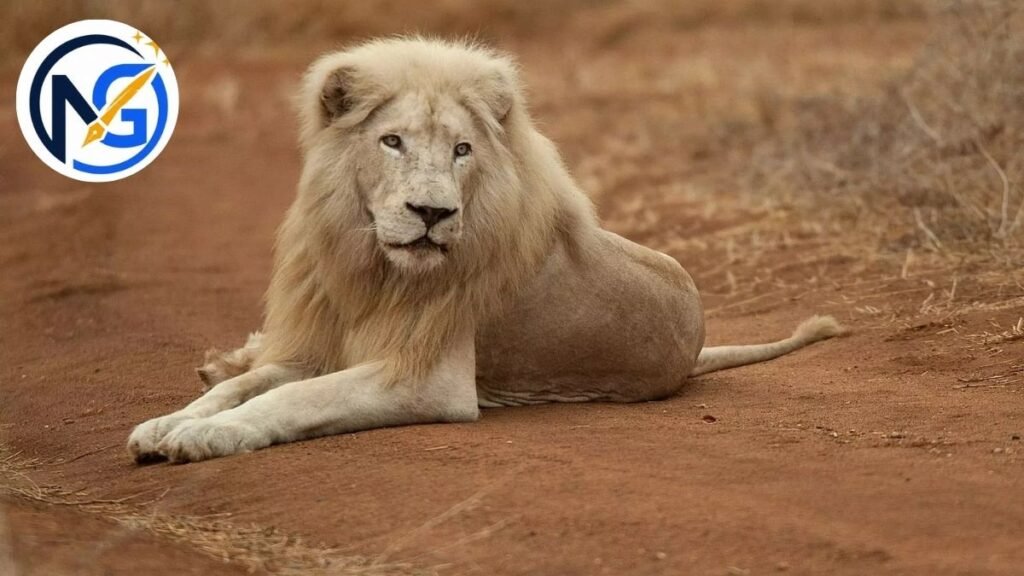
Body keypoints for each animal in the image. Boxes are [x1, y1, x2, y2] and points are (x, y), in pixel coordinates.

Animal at [127, 38, 842, 463]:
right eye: (392, 141)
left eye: (462, 149)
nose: (433, 214)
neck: (373, 266)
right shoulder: (317, 343)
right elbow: (248, 385)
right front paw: (169, 423)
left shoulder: (429, 379)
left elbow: (296, 399)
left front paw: (208, 435)